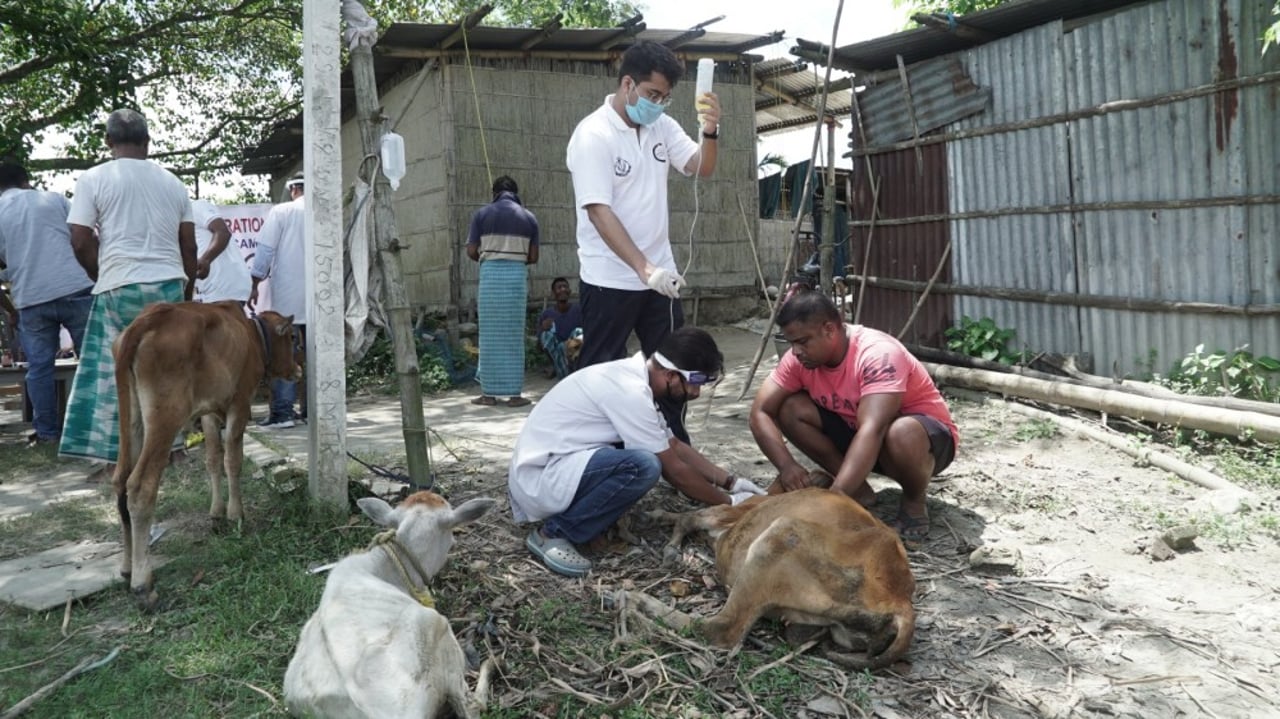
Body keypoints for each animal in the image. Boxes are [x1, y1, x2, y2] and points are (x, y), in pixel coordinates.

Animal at [110, 299, 299, 606]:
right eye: (293, 337)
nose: (298, 369)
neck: (252, 335)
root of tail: (147, 320)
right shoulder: (239, 404)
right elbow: (232, 459)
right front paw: (235, 514)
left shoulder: (209, 413)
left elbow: (212, 460)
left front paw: (217, 514)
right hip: (166, 417)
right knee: (139, 486)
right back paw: (143, 583)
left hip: (132, 418)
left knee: (120, 482)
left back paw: (127, 568)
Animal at [655, 473, 916, 670]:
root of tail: (901, 600)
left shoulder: (730, 513)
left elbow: (689, 517)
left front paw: (668, 541)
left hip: (780, 535)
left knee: (721, 629)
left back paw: (647, 610)